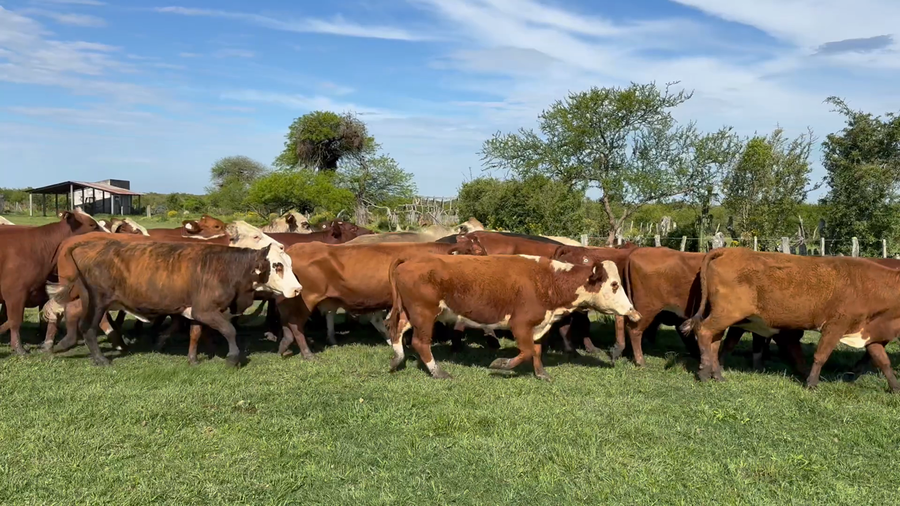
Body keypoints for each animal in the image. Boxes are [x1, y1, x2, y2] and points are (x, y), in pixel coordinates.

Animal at [276, 240, 482, 359]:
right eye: (475, 251)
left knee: (287, 322)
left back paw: (285, 346)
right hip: (306, 299)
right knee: (295, 324)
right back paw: (307, 354)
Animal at [386, 254, 641, 380]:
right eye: (615, 284)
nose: (634, 313)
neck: (548, 280)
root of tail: (410, 259)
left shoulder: (539, 325)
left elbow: (536, 350)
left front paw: (541, 374)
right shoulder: (520, 325)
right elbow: (527, 351)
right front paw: (502, 364)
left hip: (410, 313)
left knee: (397, 331)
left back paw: (397, 359)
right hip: (425, 314)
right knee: (420, 342)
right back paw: (438, 372)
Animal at [681, 248, 900, 392]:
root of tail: (728, 250)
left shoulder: (870, 334)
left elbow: (884, 362)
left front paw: (895, 388)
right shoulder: (835, 325)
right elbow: (821, 355)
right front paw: (811, 383)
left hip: (723, 316)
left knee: (715, 342)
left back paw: (717, 375)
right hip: (727, 313)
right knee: (704, 332)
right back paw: (704, 372)